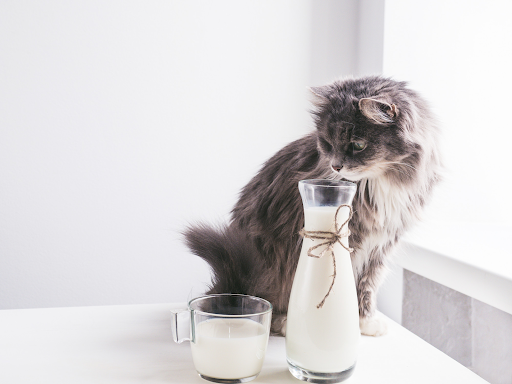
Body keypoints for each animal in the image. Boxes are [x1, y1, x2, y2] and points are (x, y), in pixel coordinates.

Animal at [184, 75, 444, 336]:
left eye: (358, 145)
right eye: (328, 143)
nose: (336, 166)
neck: (377, 183)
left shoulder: (381, 245)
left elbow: (366, 284)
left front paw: (365, 321)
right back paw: (282, 321)